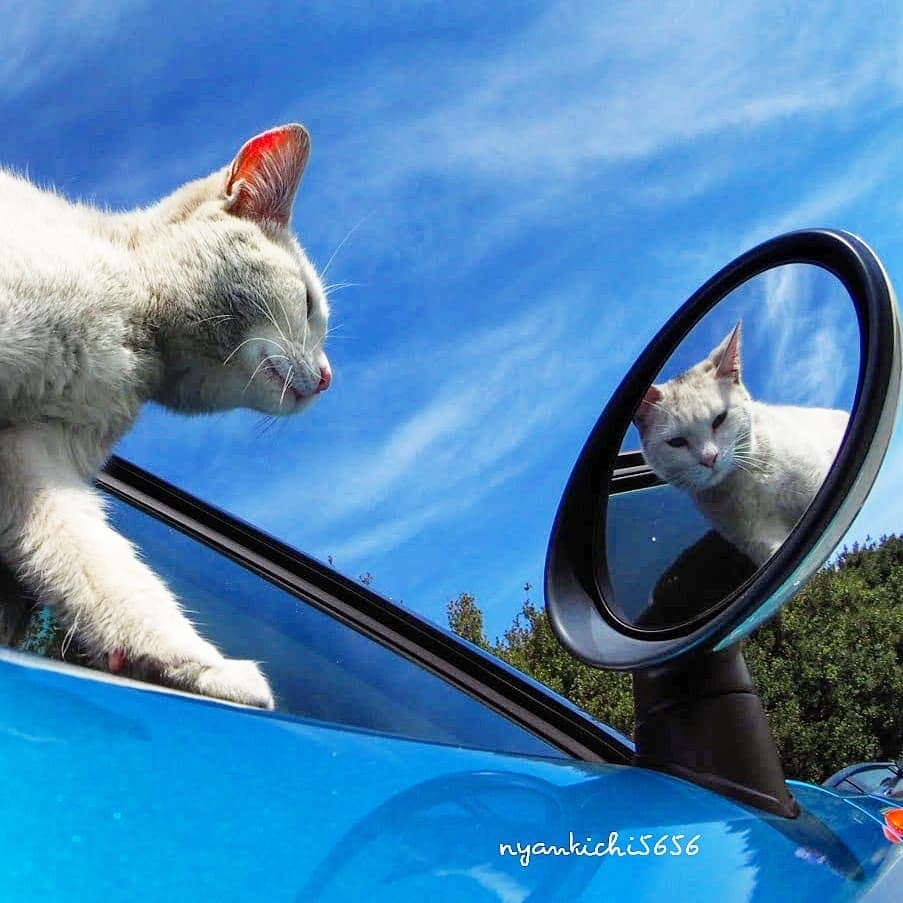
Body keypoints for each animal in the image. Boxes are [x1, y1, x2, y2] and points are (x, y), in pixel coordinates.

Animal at [636, 324, 848, 564]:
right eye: (676, 442)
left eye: (719, 419)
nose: (709, 459)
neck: (749, 479)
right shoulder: (761, 540)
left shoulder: (816, 486)